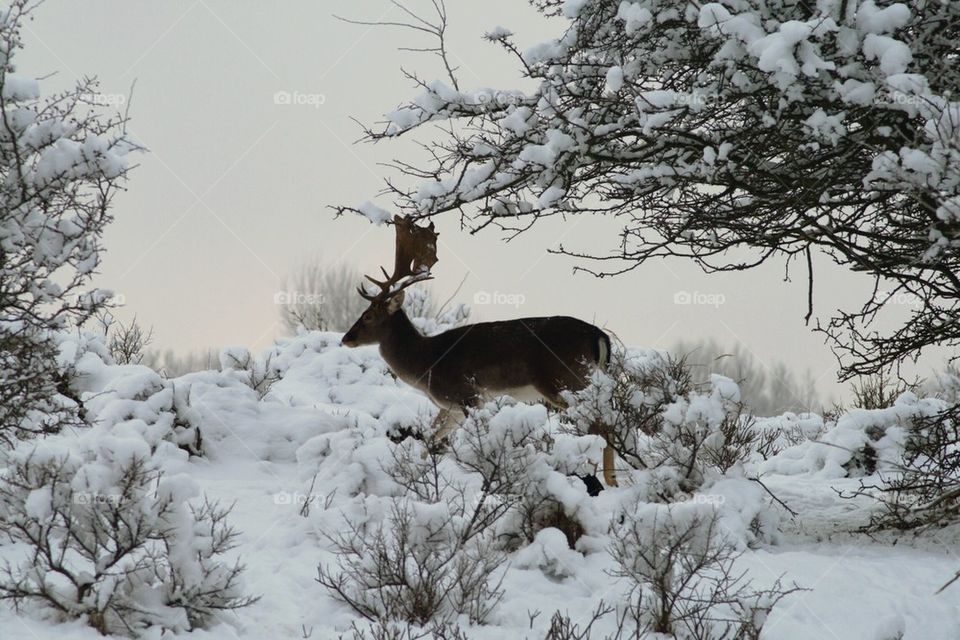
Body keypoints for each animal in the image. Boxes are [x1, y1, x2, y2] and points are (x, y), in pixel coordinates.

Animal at [341, 216, 617, 494]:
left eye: (368, 316)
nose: (346, 338)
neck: (426, 363)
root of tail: (598, 335)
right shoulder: (450, 407)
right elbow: (429, 438)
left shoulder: (468, 394)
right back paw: (610, 479)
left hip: (565, 379)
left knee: (601, 424)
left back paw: (603, 480)